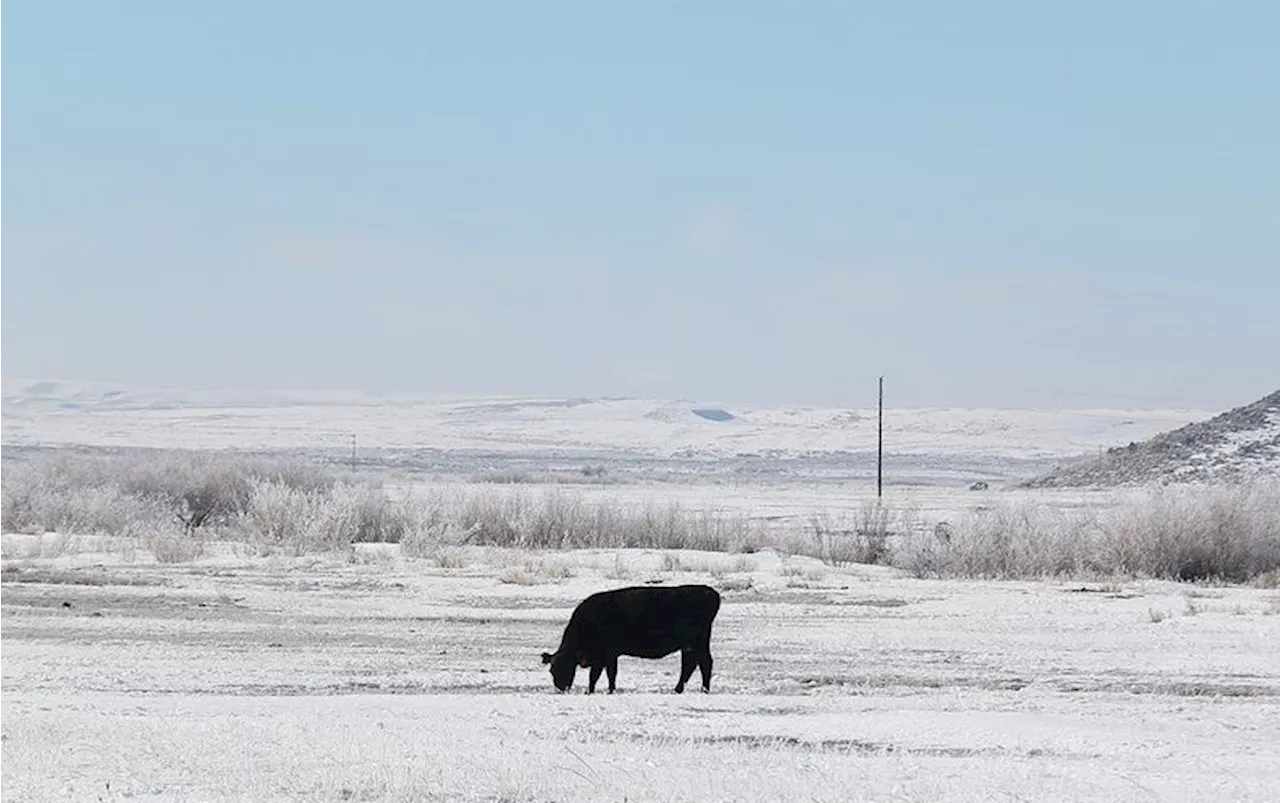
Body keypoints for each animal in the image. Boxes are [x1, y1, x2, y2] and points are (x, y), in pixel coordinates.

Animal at [537, 584, 721, 696]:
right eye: (552, 670)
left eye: (567, 668)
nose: (560, 689)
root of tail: (709, 592)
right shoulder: (605, 656)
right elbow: (602, 675)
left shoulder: (606, 654)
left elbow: (602, 674)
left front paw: (602, 691)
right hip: (690, 645)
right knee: (690, 665)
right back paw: (679, 689)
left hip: (697, 643)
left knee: (704, 663)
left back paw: (703, 689)